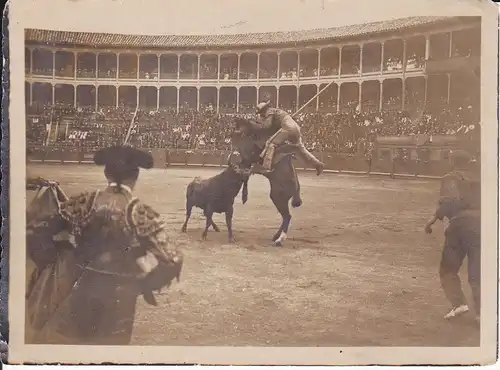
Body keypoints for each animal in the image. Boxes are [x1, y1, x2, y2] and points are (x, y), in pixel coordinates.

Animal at [231, 117, 304, 247]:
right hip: (278, 198)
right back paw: (276, 237)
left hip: (278, 197)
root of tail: (296, 188)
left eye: (238, 133)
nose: (233, 151)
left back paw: (280, 240)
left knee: (287, 216)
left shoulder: (250, 156)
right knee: (286, 216)